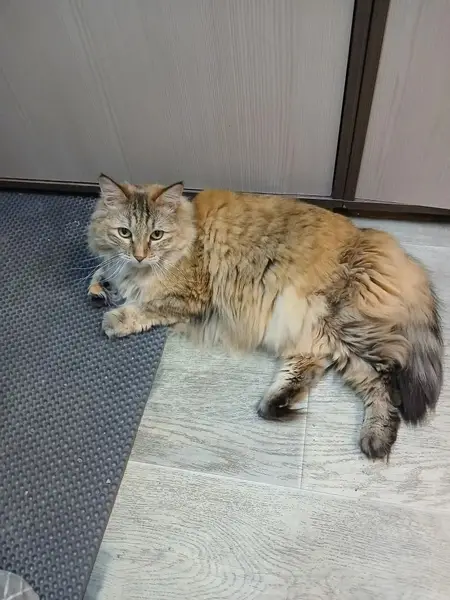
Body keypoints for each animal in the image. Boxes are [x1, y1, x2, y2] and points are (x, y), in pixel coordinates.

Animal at [88, 174, 443, 460]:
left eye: (157, 235)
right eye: (124, 232)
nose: (139, 255)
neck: (190, 233)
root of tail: (377, 240)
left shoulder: (190, 296)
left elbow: (146, 307)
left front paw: (115, 317)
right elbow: (103, 270)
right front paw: (99, 287)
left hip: (346, 326)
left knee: (388, 381)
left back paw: (376, 440)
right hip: (321, 335)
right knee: (320, 367)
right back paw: (281, 405)